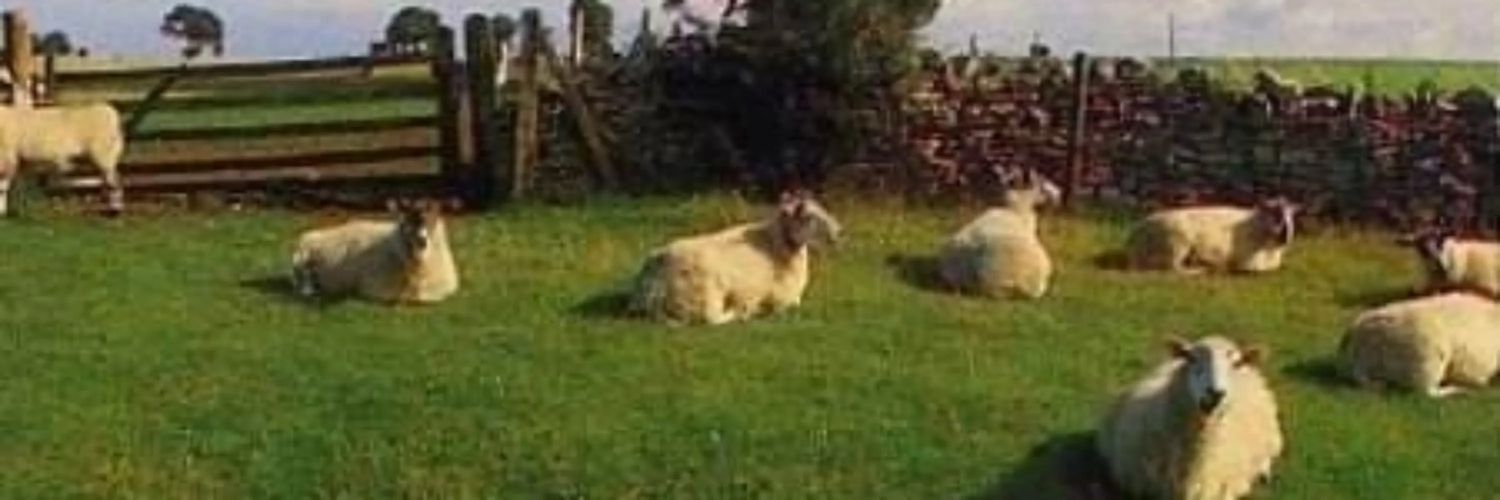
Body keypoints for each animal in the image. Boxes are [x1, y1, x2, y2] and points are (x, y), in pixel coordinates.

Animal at [290, 199, 460, 305]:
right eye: (405, 219)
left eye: (433, 218)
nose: (422, 240)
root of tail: (310, 234)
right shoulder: (377, 289)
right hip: (302, 259)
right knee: (304, 279)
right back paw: (309, 291)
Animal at [628, 190, 842, 325]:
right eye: (808, 217)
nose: (839, 233)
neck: (775, 244)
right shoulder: (784, 298)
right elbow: (789, 305)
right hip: (707, 296)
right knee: (711, 320)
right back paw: (742, 312)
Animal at [1126, 198, 1299, 274]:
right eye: (1274, 213)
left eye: (1291, 215)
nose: (1286, 235)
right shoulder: (1247, 261)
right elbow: (1259, 268)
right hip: (1178, 244)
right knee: (1173, 268)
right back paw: (1200, 269)